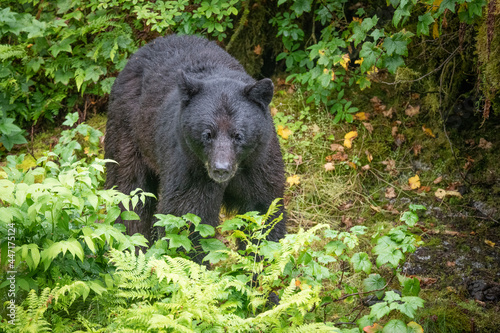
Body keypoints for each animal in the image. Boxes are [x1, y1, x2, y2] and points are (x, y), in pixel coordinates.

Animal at [103, 34, 288, 252]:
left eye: (238, 135)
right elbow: (188, 217)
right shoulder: (189, 165)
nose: (221, 169)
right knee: (129, 193)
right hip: (129, 132)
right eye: (207, 134)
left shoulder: (259, 162)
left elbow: (264, 212)